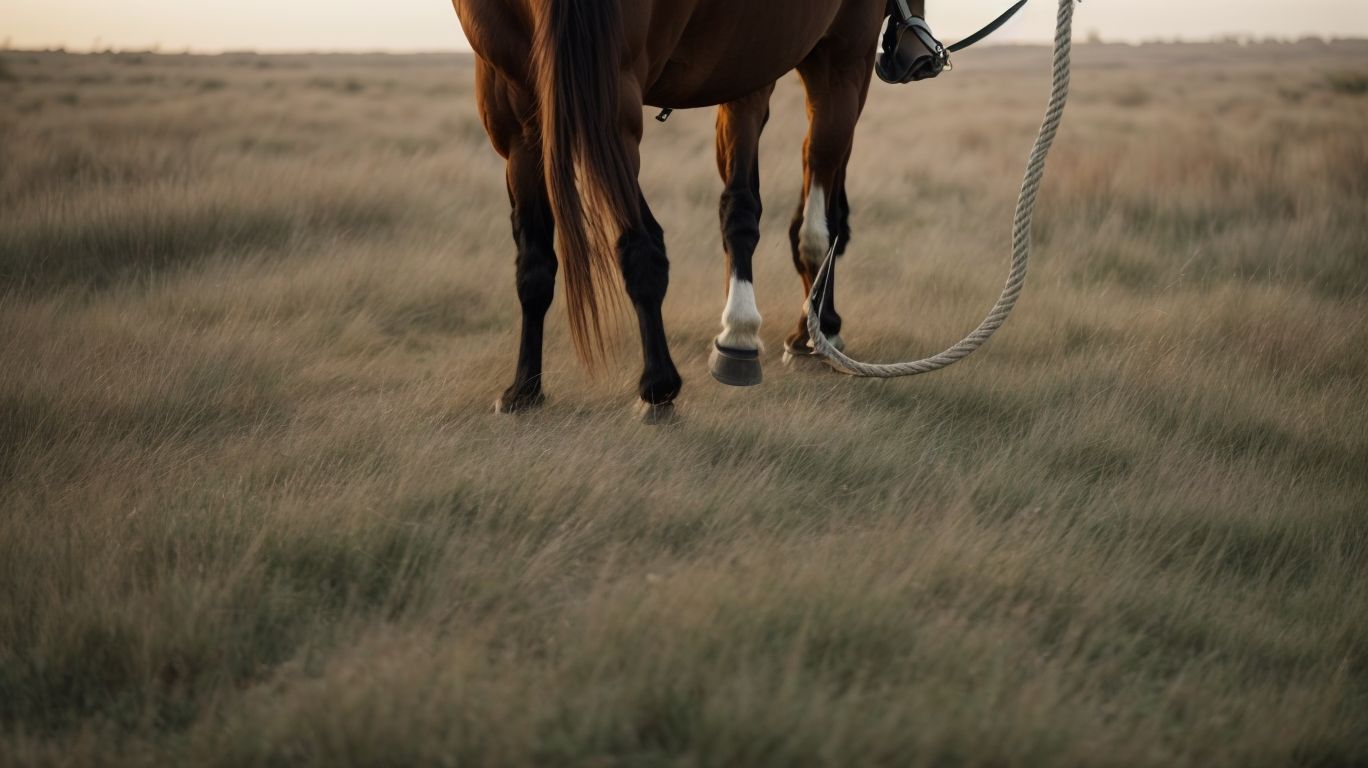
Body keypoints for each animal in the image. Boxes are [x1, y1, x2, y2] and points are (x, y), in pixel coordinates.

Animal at [452, 0, 946, 416]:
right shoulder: (832, 62)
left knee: (624, 245)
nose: (915, 56)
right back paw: (661, 381)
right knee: (644, 242)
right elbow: (803, 221)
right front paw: (789, 331)